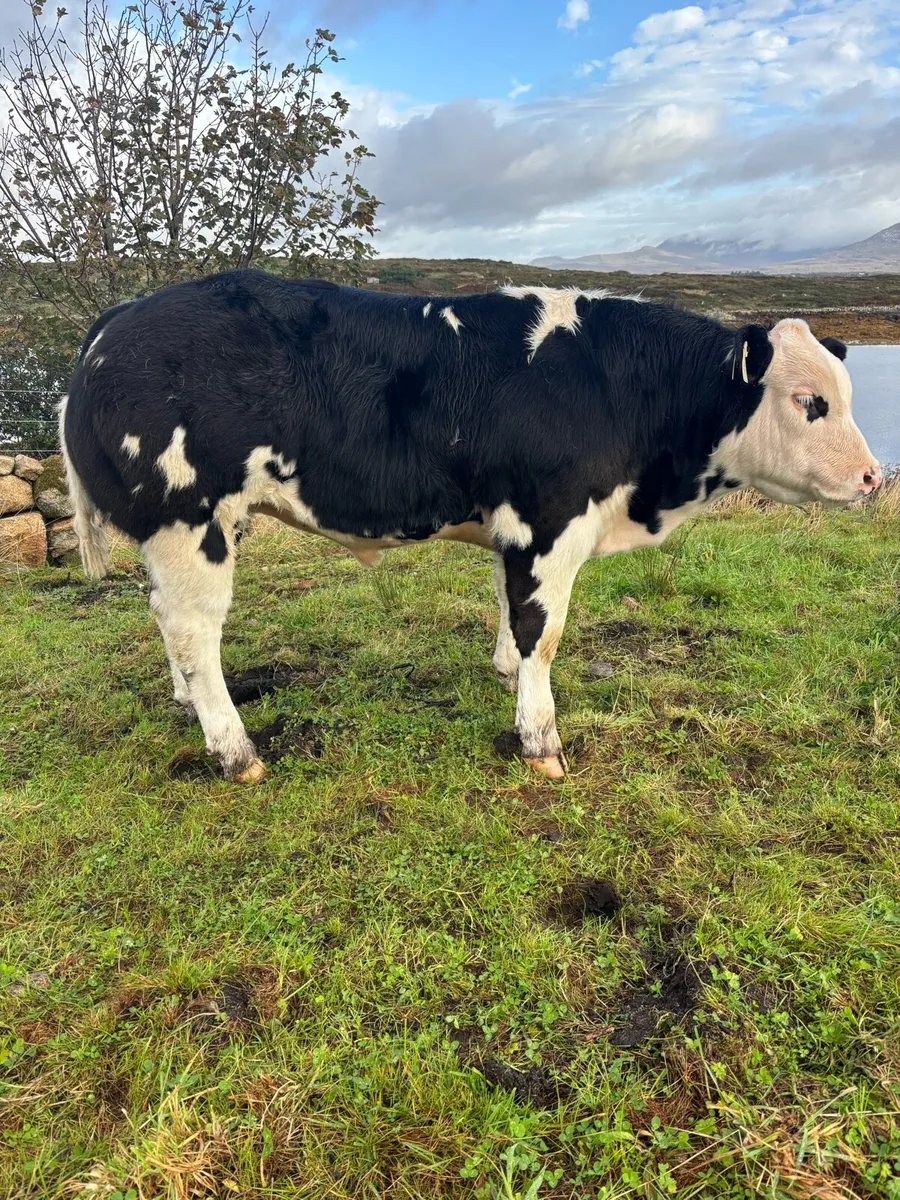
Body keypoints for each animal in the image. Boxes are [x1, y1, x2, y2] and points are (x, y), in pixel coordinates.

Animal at [61, 270, 881, 783]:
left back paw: (185, 705)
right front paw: (540, 739)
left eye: (844, 392)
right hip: (186, 522)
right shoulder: (549, 524)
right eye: (811, 401)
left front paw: (507, 675)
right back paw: (235, 751)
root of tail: (117, 321)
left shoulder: (510, 527)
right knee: (194, 633)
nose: (876, 478)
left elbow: (508, 611)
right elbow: (542, 631)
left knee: (164, 617)